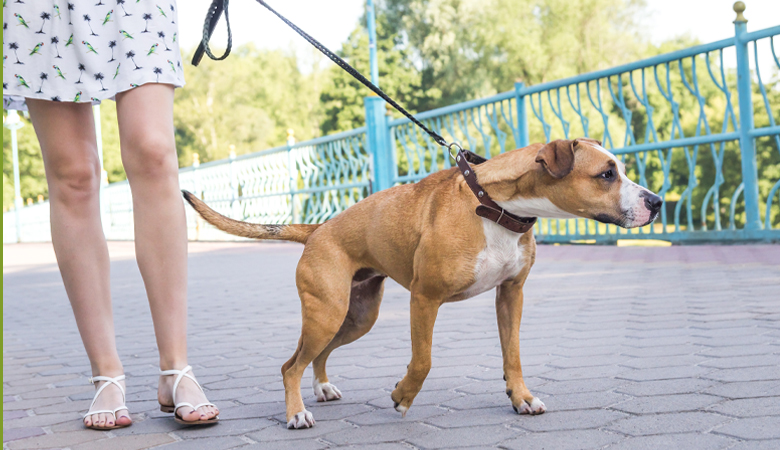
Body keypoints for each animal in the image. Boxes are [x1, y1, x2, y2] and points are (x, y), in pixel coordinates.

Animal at [183, 138, 660, 428]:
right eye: (606, 174)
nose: (655, 202)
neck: (494, 206)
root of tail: (318, 229)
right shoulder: (424, 299)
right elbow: (424, 361)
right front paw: (402, 396)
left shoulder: (511, 296)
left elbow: (514, 355)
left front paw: (520, 397)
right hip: (327, 312)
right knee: (290, 365)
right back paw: (297, 412)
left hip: (356, 316)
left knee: (316, 356)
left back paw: (320, 387)